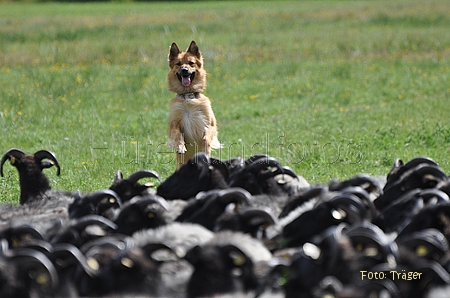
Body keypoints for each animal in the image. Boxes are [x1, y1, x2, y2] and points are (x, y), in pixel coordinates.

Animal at [166, 40, 221, 169]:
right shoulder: (174, 124)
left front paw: (205, 149)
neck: (188, 97)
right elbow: (177, 134)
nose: (185, 70)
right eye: (178, 64)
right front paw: (180, 147)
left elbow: (206, 137)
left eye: (191, 63)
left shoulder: (210, 124)